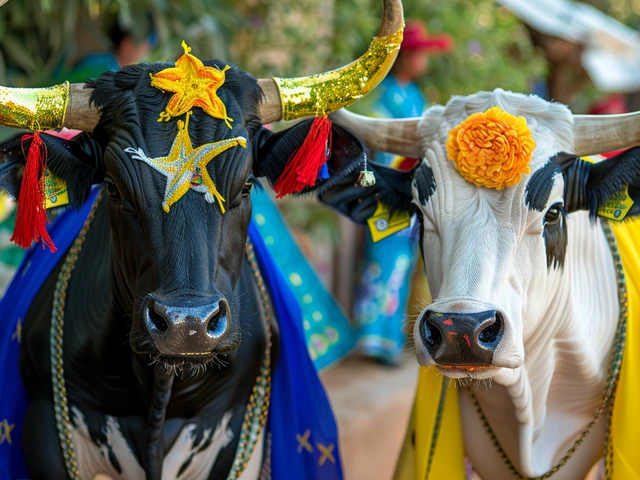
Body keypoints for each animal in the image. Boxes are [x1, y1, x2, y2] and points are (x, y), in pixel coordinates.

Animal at [0, 62, 400, 478]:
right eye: (112, 188)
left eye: (246, 186)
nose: (187, 325)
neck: (159, 391)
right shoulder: (44, 431)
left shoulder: (227, 429)